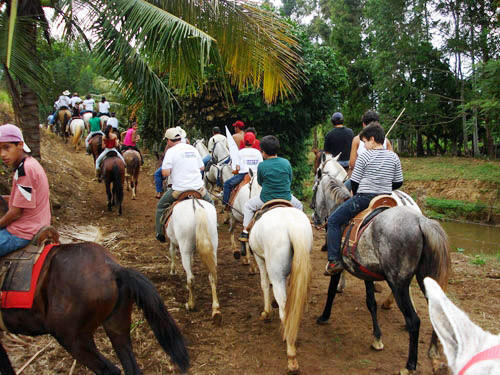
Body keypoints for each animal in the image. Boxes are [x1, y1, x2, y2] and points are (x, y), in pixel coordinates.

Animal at [250, 207, 312, 374]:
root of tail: (292, 224)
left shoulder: (260, 259)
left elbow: (264, 284)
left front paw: (266, 312)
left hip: (275, 273)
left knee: (284, 309)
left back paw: (291, 355)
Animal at [312, 176, 450, 375]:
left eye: (314, 189)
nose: (314, 217)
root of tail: (420, 222)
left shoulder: (339, 266)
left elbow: (331, 291)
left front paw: (324, 316)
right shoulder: (367, 273)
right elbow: (371, 303)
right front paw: (377, 339)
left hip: (398, 284)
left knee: (413, 321)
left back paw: (410, 365)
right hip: (426, 280)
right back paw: (434, 354)